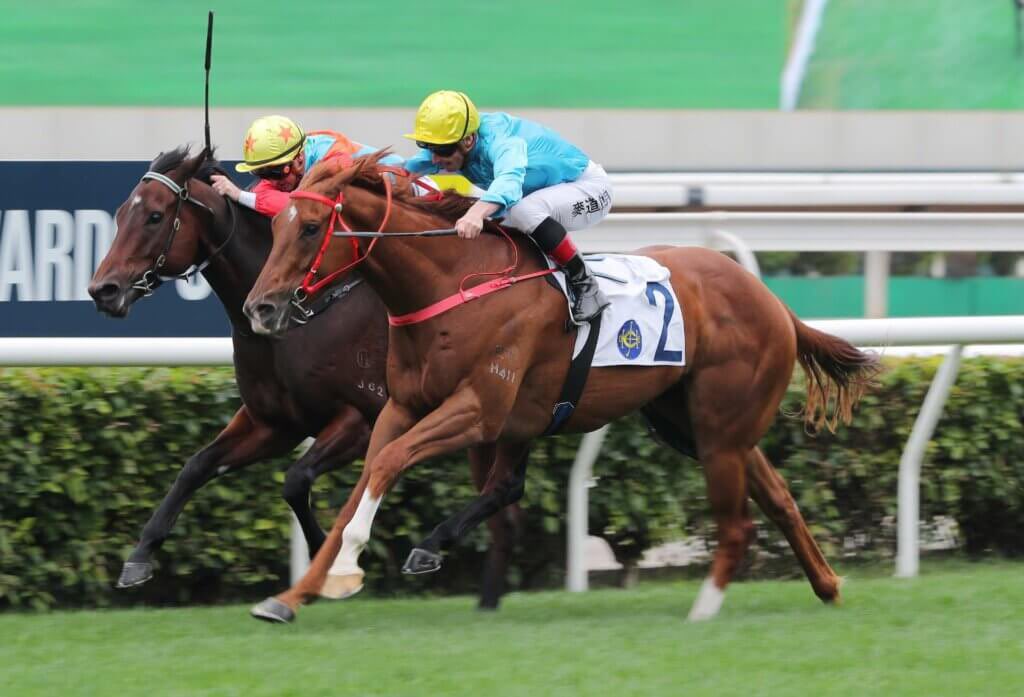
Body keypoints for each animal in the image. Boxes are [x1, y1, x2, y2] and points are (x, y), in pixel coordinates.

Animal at [87, 146, 522, 609]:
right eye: (120, 214)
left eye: (154, 216)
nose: (103, 290)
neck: (305, 314)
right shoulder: (274, 423)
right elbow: (196, 465)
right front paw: (139, 556)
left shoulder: (362, 419)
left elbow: (295, 480)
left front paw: (326, 563)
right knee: (507, 504)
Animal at [240, 152, 881, 624]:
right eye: (274, 225)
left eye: (313, 228)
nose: (260, 308)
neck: (452, 284)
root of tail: (771, 300)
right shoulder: (403, 406)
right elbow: (365, 482)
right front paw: (298, 593)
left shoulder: (479, 409)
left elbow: (388, 463)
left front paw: (348, 570)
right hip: (689, 422)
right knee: (779, 497)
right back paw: (827, 586)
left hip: (719, 428)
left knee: (739, 522)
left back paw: (704, 609)